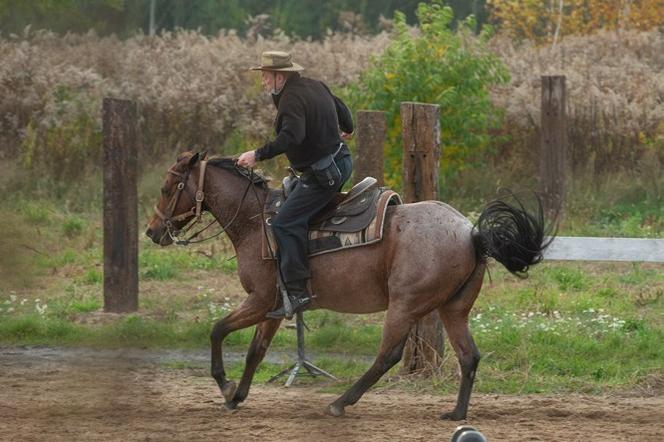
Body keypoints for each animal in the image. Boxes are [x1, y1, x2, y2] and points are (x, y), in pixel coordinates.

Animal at [148, 153, 552, 422]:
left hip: (404, 306)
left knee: (388, 356)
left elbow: (217, 330)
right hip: (453, 310)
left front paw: (223, 384)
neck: (255, 221)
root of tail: (471, 233)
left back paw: (341, 402)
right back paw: (456, 414)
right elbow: (255, 352)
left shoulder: (259, 300)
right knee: (469, 356)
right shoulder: (274, 307)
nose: (152, 232)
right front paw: (238, 394)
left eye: (168, 187)